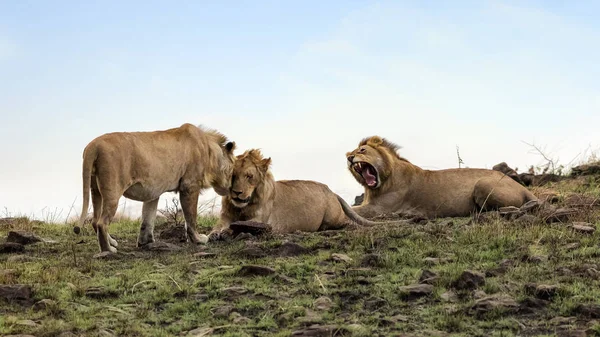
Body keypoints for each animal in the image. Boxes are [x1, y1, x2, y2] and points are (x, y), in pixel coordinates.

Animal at [74, 122, 234, 253]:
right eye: (233, 170)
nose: (231, 189)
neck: (209, 149)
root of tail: (93, 145)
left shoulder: (153, 192)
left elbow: (148, 218)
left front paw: (145, 242)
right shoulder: (190, 186)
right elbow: (191, 217)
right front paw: (198, 239)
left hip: (95, 190)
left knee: (95, 220)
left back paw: (112, 242)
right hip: (112, 191)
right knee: (102, 222)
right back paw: (108, 250)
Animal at [209, 147, 400, 236]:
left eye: (249, 176)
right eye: (233, 176)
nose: (236, 193)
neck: (242, 206)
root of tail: (331, 190)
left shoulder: (260, 221)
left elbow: (238, 226)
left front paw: (226, 233)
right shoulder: (225, 217)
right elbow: (217, 227)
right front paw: (215, 234)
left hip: (332, 216)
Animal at [346, 136, 540, 218]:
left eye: (362, 150)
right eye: (349, 153)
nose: (349, 158)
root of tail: (521, 187)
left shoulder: (379, 208)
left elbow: (352, 209)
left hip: (482, 184)